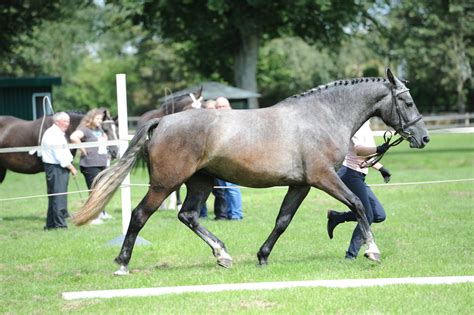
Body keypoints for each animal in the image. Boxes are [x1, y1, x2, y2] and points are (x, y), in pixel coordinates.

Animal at [73, 68, 430, 274]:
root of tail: (162, 121)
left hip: (200, 182)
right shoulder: (323, 178)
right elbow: (357, 206)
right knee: (139, 215)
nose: (423, 137)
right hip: (165, 184)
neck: (322, 116)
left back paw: (222, 255)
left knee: (188, 215)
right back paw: (122, 263)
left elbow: (283, 220)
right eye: (407, 102)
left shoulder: (301, 184)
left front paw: (262, 255)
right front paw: (373, 251)